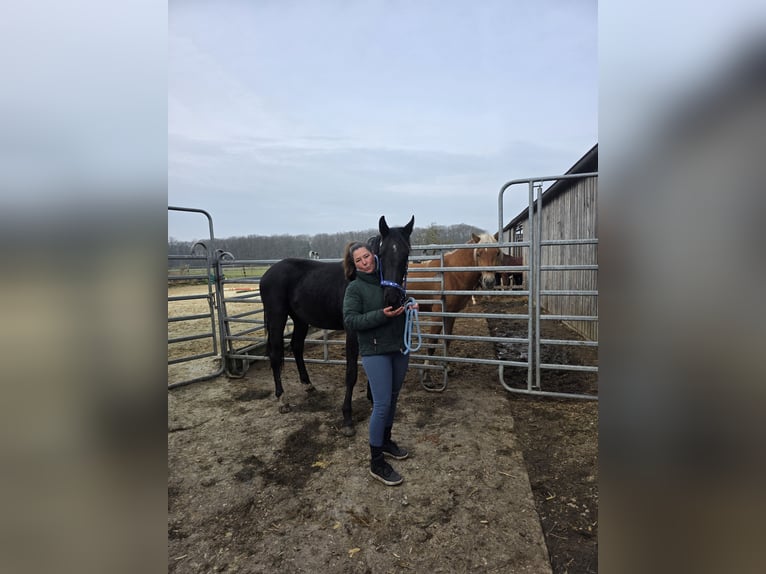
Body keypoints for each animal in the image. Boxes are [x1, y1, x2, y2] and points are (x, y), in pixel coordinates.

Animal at [258, 215, 414, 436]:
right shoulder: (352, 332)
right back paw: (282, 399)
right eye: (382, 253)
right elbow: (351, 373)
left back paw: (308, 385)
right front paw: (347, 418)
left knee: (296, 347)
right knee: (276, 353)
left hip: (300, 319)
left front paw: (372, 400)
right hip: (276, 318)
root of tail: (268, 273)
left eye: (406, 253)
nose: (392, 299)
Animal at [406, 233, 501, 373]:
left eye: (497, 253)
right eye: (478, 253)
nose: (489, 281)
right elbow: (432, 341)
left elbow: (447, 340)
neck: (451, 273)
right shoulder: (438, 314)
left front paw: (447, 367)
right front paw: (426, 369)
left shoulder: (451, 314)